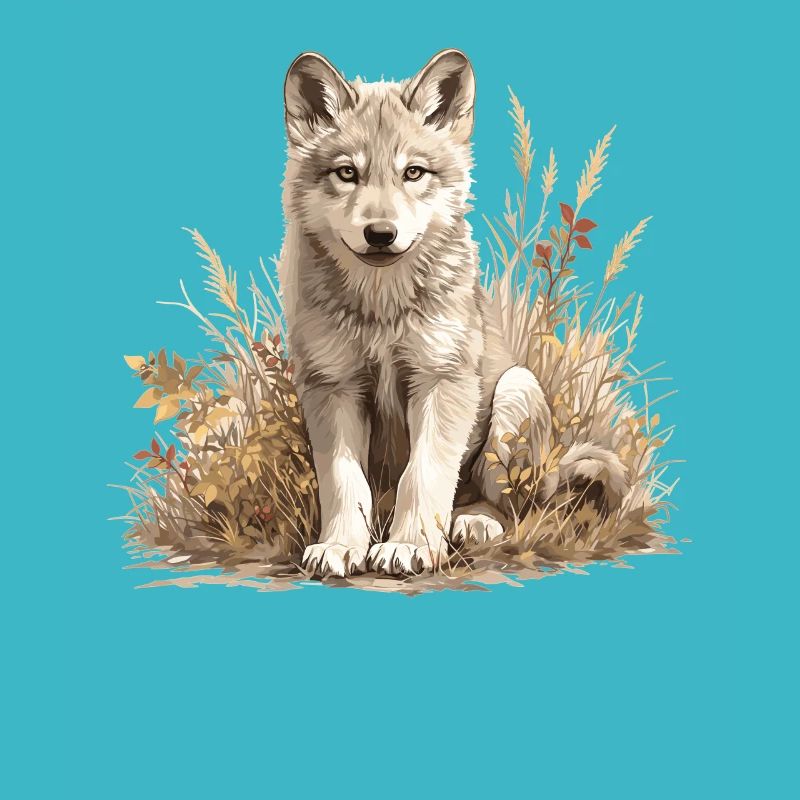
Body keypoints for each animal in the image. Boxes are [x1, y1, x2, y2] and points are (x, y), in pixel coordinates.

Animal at [278, 49, 627, 577]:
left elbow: (423, 474)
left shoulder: (442, 379)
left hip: (515, 392)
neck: (382, 308)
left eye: (414, 173)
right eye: (347, 173)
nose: (380, 234)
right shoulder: (332, 386)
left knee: (510, 508)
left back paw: (474, 522)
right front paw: (340, 546)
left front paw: (409, 546)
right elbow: (343, 482)